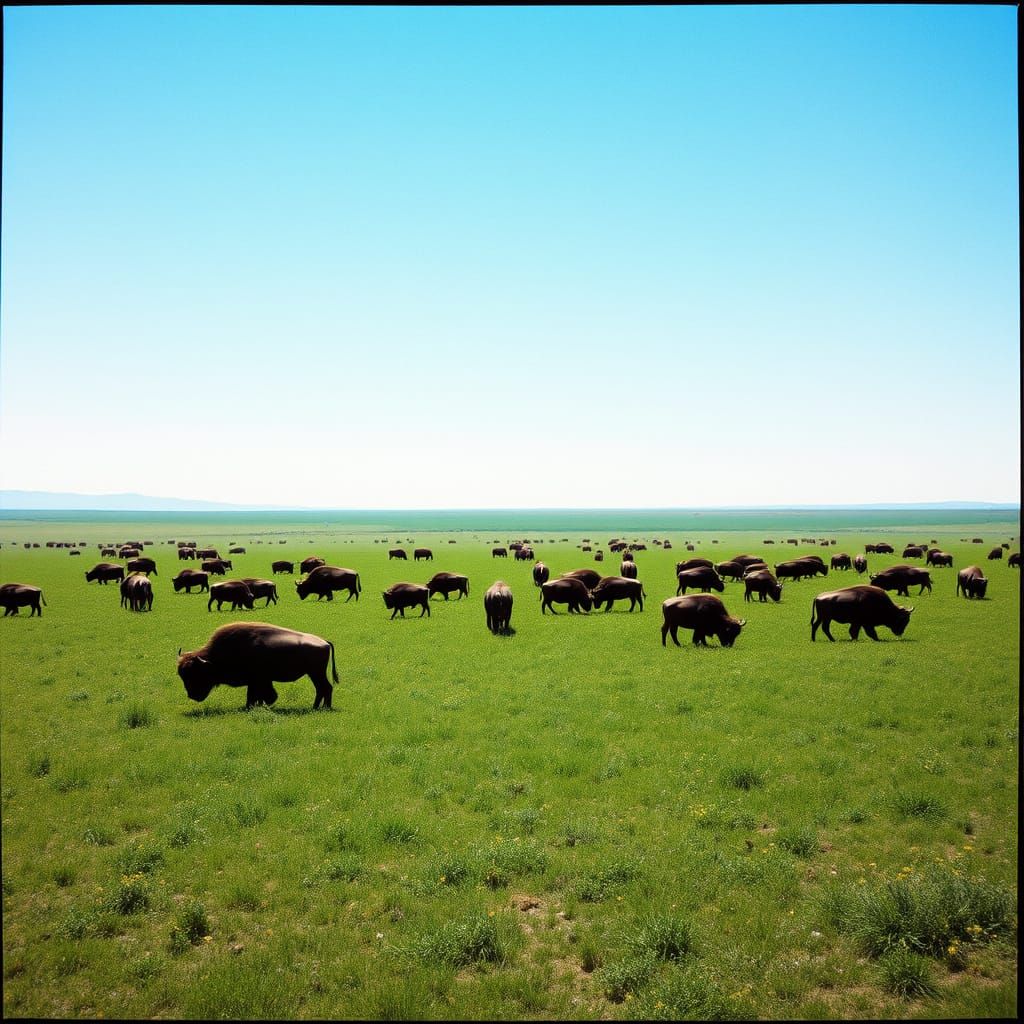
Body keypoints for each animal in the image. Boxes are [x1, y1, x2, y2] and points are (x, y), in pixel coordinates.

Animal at [178, 621, 338, 710]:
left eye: (197, 673)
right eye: (182, 676)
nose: (192, 695)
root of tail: (324, 642)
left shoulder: (257, 680)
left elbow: (256, 695)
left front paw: (250, 707)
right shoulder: (259, 681)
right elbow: (260, 695)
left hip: (316, 673)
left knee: (325, 688)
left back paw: (324, 708)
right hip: (314, 674)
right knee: (322, 689)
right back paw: (316, 707)